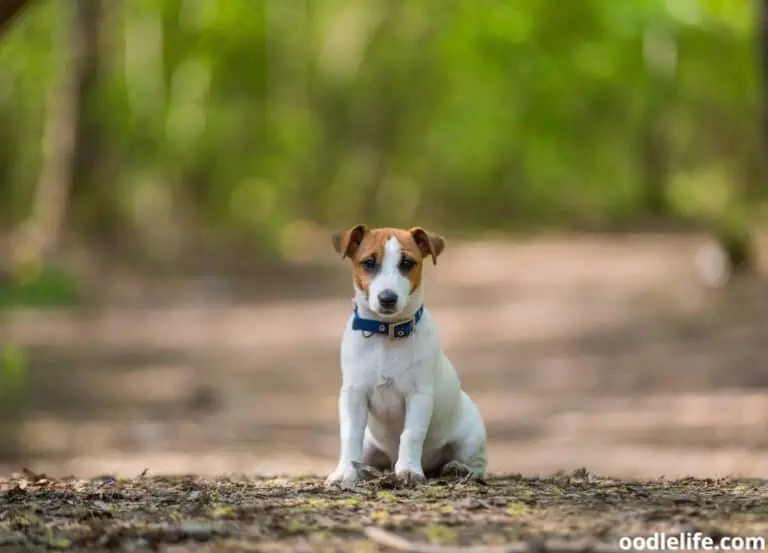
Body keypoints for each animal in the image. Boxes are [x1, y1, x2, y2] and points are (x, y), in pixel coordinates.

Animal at [324, 224, 486, 488]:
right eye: (369, 263)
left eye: (407, 263)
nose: (387, 298)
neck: (386, 335)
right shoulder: (353, 394)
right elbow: (349, 434)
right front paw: (344, 472)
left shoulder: (419, 395)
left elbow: (411, 434)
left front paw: (409, 470)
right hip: (371, 446)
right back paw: (367, 470)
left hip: (470, 441)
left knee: (477, 465)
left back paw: (457, 468)